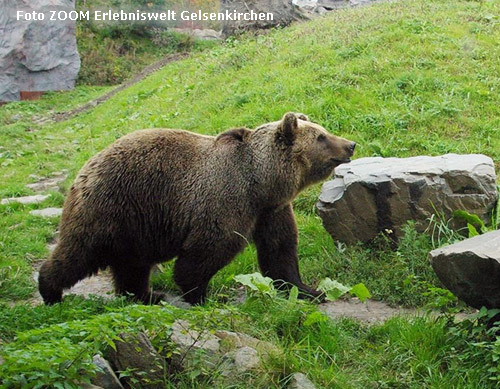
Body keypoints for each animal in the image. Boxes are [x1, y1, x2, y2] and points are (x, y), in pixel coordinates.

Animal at [39, 112, 356, 304]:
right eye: (321, 137)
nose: (350, 144)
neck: (261, 182)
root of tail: (86, 167)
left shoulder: (271, 210)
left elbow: (280, 249)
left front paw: (309, 290)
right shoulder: (226, 197)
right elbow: (211, 248)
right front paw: (201, 294)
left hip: (136, 226)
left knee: (132, 264)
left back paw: (145, 296)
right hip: (112, 206)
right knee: (80, 251)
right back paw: (50, 290)